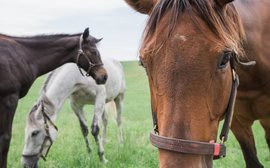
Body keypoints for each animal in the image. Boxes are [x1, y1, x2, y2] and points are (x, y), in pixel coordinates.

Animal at [0, 27, 107, 167]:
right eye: (93, 52)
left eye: (34, 133)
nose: (104, 76)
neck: (24, 55)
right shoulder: (9, 99)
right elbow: (5, 139)